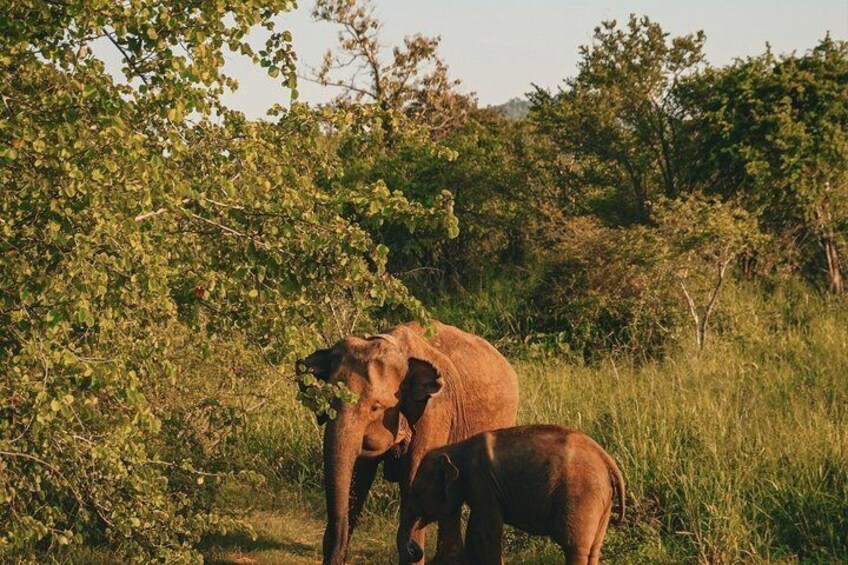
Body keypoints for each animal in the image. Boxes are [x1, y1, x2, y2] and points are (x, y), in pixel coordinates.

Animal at [296, 321, 519, 565]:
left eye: (375, 407)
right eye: (325, 402)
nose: (414, 549)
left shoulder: (436, 410)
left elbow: (415, 476)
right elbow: (359, 474)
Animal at [400, 424, 625, 565]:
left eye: (416, 492)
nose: (413, 548)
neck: (455, 448)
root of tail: (606, 459)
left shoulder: (483, 482)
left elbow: (485, 533)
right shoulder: (481, 487)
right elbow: (475, 532)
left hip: (581, 495)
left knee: (574, 546)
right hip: (603, 501)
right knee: (593, 548)